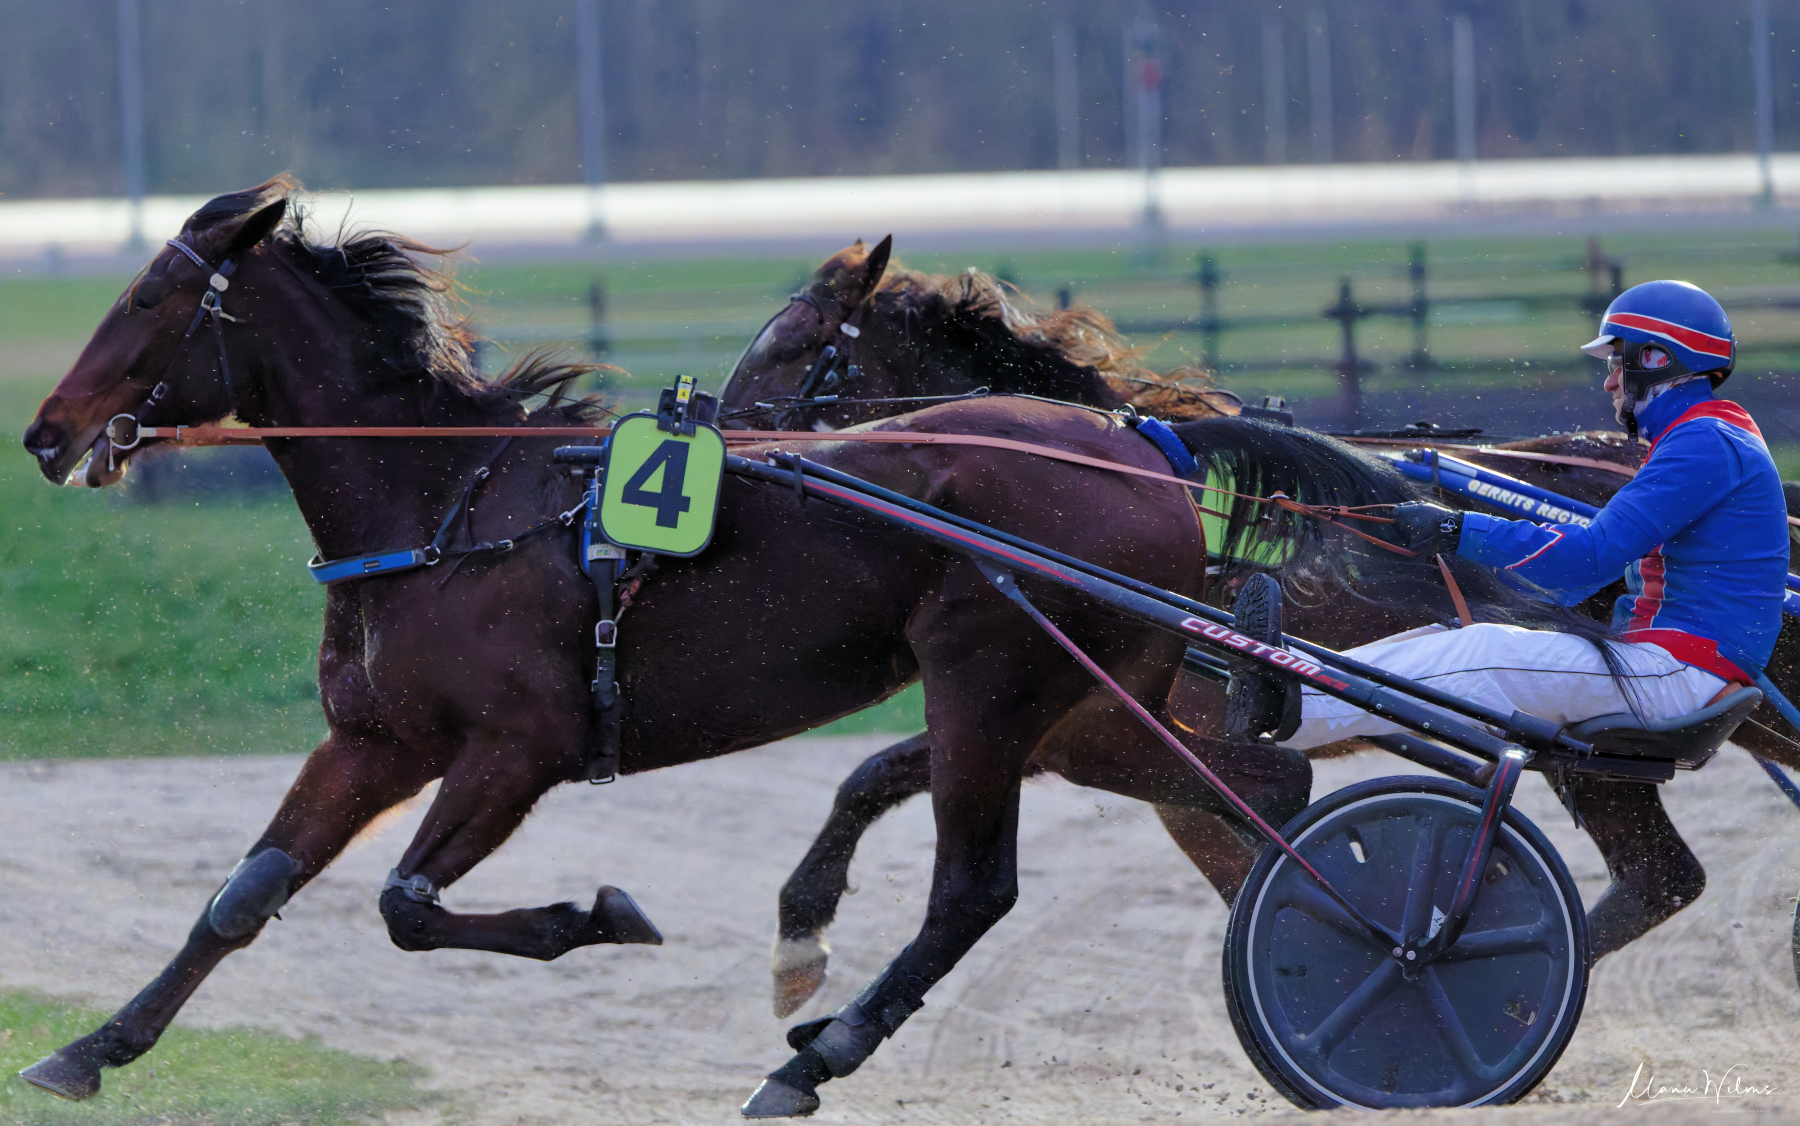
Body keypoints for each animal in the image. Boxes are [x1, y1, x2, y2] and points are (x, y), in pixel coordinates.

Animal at [15, 178, 1488, 1117]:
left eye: (148, 302)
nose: (44, 431)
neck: (448, 504)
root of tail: (1144, 451)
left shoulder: (518, 748)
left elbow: (406, 903)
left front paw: (596, 913)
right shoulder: (376, 740)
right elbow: (243, 895)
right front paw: (92, 1047)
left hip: (991, 683)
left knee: (976, 891)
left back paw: (811, 1057)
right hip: (1081, 704)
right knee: (1254, 792)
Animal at [719, 237, 1800, 1018]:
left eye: (797, 347)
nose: (722, 433)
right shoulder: (1076, 717)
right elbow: (876, 773)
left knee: (1660, 873)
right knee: (1662, 878)